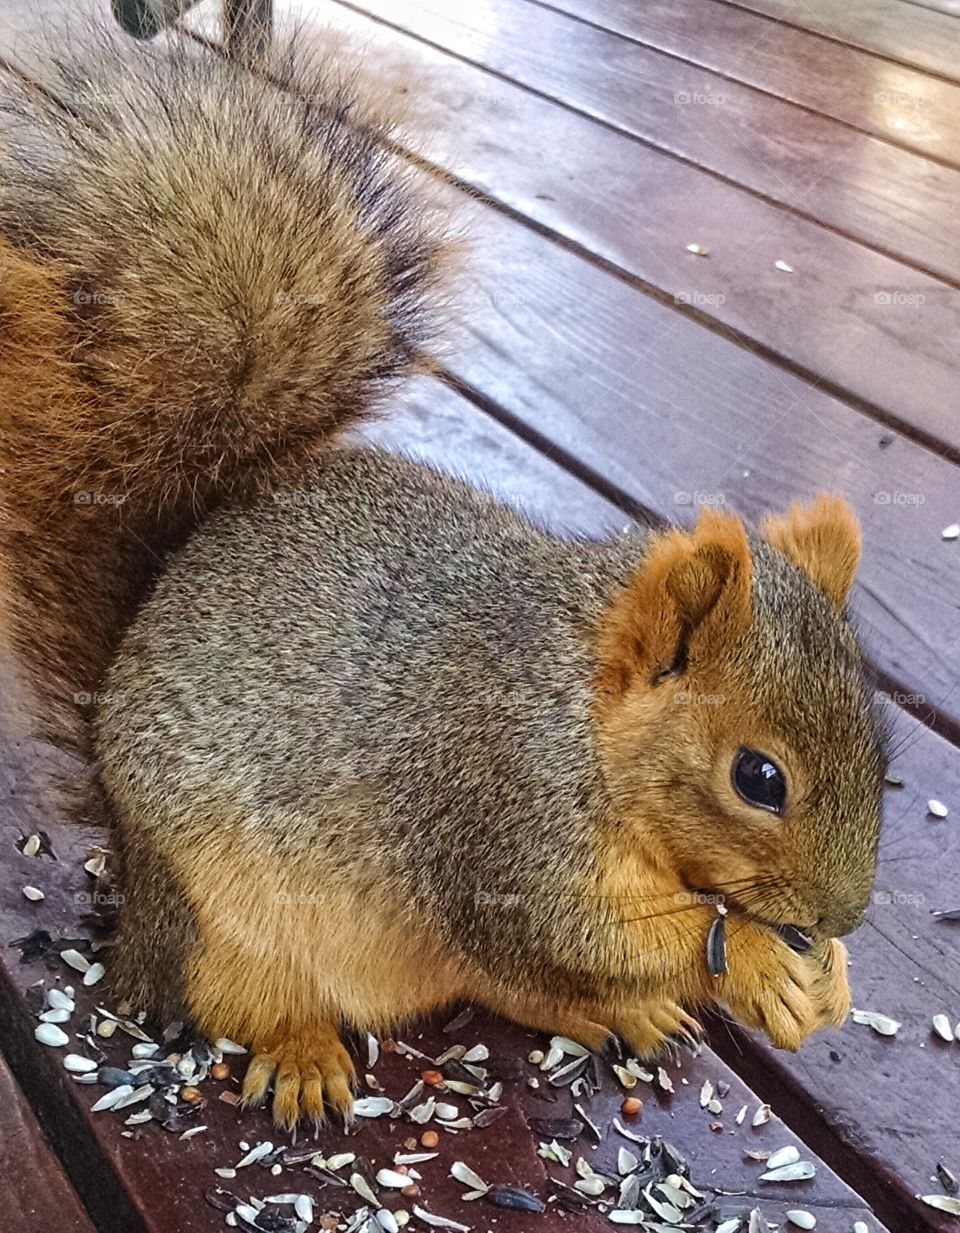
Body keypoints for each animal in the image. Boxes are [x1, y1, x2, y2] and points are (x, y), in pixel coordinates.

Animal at [0, 21, 887, 1129]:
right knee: (249, 998)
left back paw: (618, 1013)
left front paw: (826, 978)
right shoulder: (497, 823)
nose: (840, 914)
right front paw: (761, 962)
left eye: (881, 747)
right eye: (758, 778)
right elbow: (574, 930)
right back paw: (303, 1051)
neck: (580, 714)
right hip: (220, 920)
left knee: (503, 985)